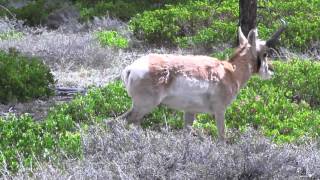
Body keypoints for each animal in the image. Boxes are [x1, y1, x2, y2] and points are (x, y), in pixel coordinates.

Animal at [120, 26, 284, 140]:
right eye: (265, 53)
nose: (271, 71)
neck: (230, 71)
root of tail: (131, 68)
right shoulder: (220, 111)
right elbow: (222, 136)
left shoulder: (189, 112)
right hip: (144, 106)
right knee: (126, 121)